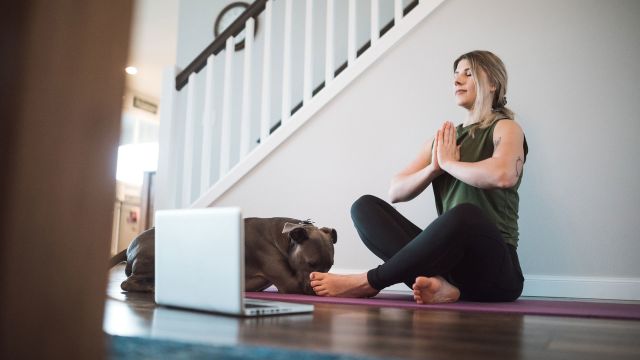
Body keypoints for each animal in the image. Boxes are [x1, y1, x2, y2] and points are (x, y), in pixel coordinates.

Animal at [110, 217, 338, 296]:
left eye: (330, 266)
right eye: (311, 263)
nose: (314, 288)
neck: (283, 239)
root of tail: (131, 244)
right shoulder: (291, 284)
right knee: (127, 283)